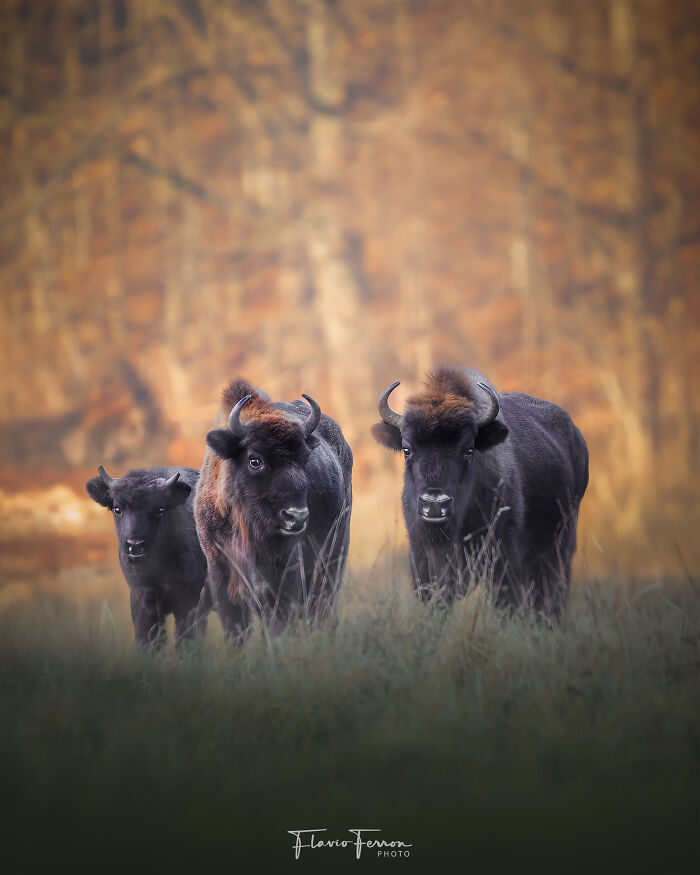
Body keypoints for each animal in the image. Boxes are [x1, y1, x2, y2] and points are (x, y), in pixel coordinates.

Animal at [194, 378, 353, 640]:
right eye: (254, 460)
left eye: (304, 458)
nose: (296, 517)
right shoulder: (219, 568)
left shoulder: (284, 569)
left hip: (334, 550)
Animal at [372, 367, 588, 615]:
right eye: (407, 449)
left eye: (469, 450)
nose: (435, 504)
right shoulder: (423, 560)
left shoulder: (504, 558)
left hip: (561, 545)